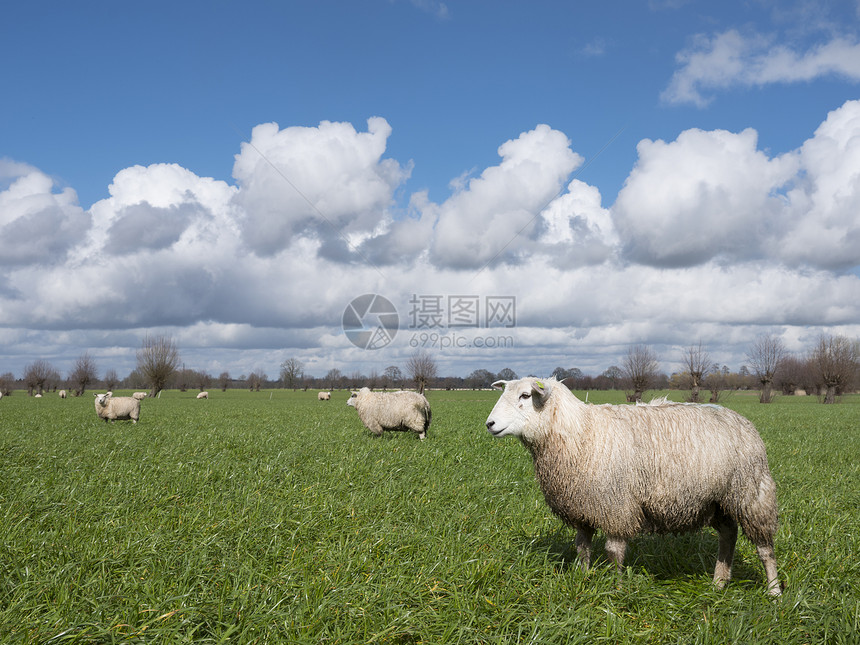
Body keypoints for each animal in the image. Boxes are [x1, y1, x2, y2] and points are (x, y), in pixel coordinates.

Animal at [488, 378, 784, 592]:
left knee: (764, 548)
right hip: (715, 500)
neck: (580, 433)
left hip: (751, 492)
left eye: (525, 396)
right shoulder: (583, 505)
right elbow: (582, 546)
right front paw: (583, 578)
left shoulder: (616, 505)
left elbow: (613, 551)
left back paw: (774, 591)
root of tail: (743, 421)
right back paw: (719, 582)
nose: (489, 423)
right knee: (729, 535)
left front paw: (616, 588)